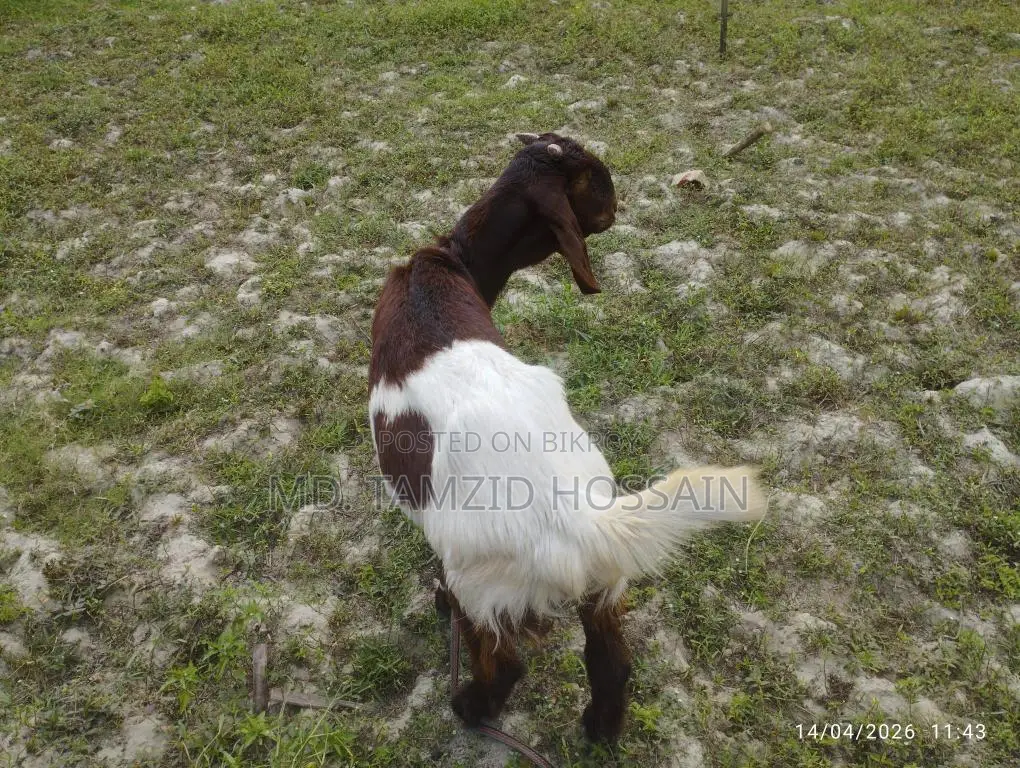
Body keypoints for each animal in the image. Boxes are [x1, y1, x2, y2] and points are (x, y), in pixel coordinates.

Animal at [368, 132, 767, 744]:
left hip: (482, 585)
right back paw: (600, 729)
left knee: (505, 662)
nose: (619, 206)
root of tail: (576, 519)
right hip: (602, 580)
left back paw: (471, 706)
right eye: (597, 181)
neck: (450, 262)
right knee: (611, 663)